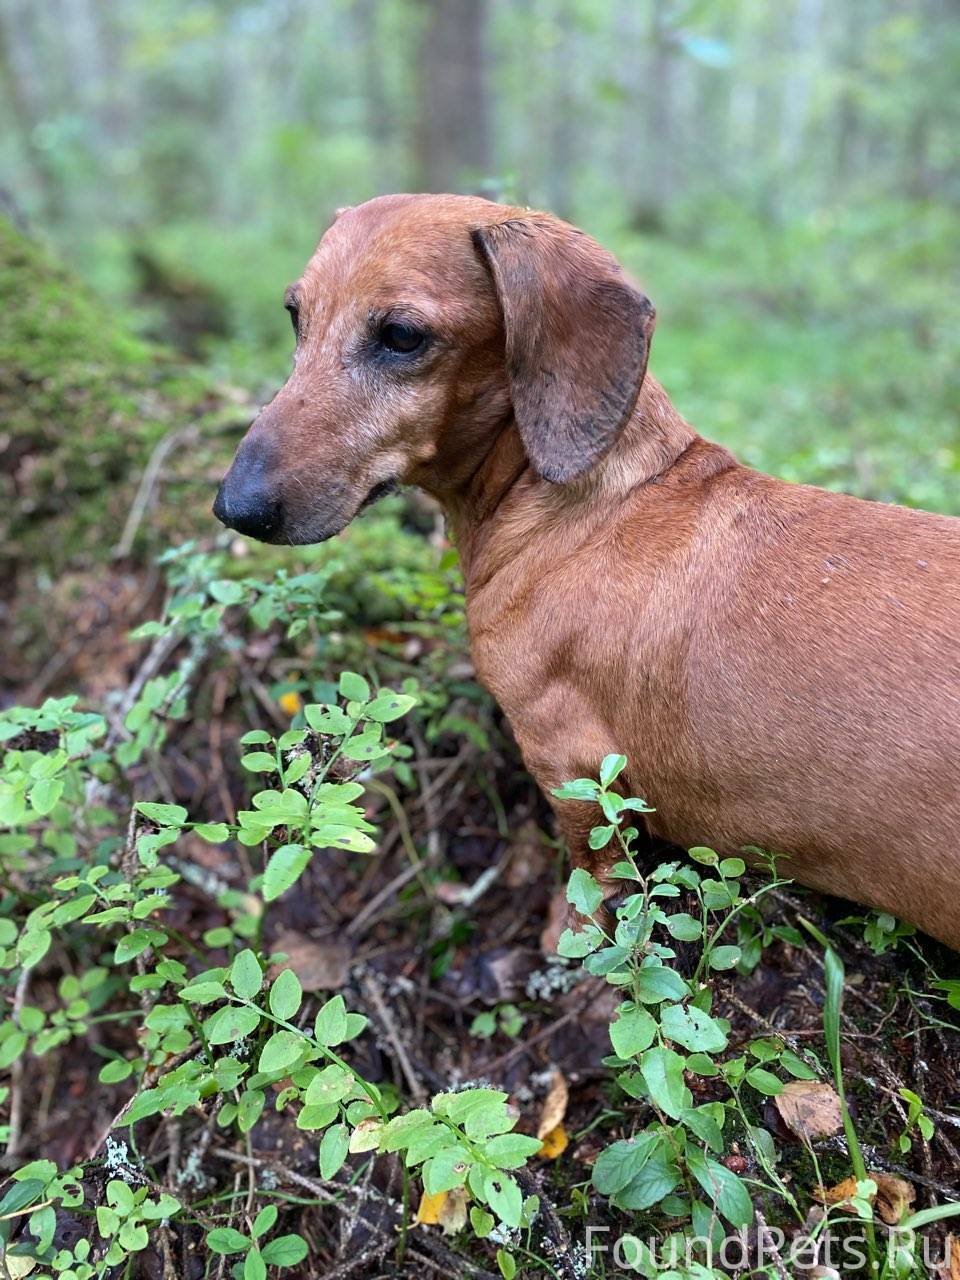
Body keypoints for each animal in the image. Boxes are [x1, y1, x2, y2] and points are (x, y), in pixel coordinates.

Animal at [214, 194, 960, 950]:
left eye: (400, 335)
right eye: (294, 315)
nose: (233, 508)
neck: (598, 505)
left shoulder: (569, 759)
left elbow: (591, 875)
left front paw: (565, 941)